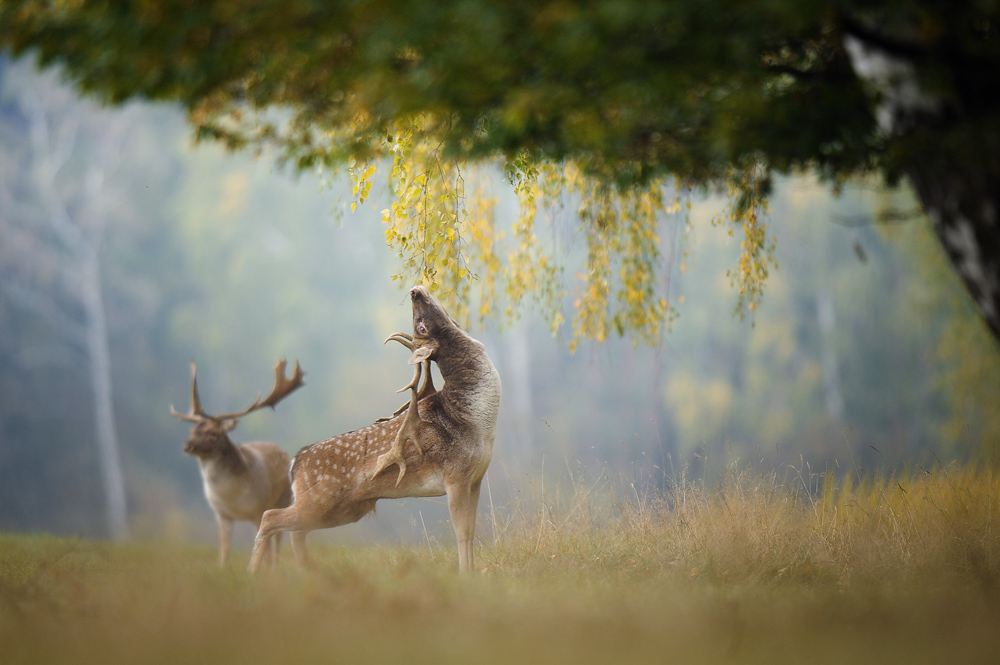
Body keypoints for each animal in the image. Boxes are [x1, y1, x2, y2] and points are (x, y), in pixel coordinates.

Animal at [172, 358, 304, 564]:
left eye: (213, 433)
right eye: (192, 430)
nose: (187, 446)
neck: (230, 496)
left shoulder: (258, 509)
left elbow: (264, 547)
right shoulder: (221, 514)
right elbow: (224, 550)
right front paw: (222, 568)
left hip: (281, 501)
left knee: (276, 543)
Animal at [250, 286, 500, 572]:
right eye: (420, 325)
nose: (415, 291)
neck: (478, 422)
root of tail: (296, 462)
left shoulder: (476, 479)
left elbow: (471, 530)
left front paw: (473, 572)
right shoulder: (455, 475)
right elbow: (462, 531)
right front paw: (464, 574)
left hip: (343, 509)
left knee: (295, 529)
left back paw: (305, 571)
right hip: (320, 499)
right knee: (270, 517)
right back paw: (252, 572)